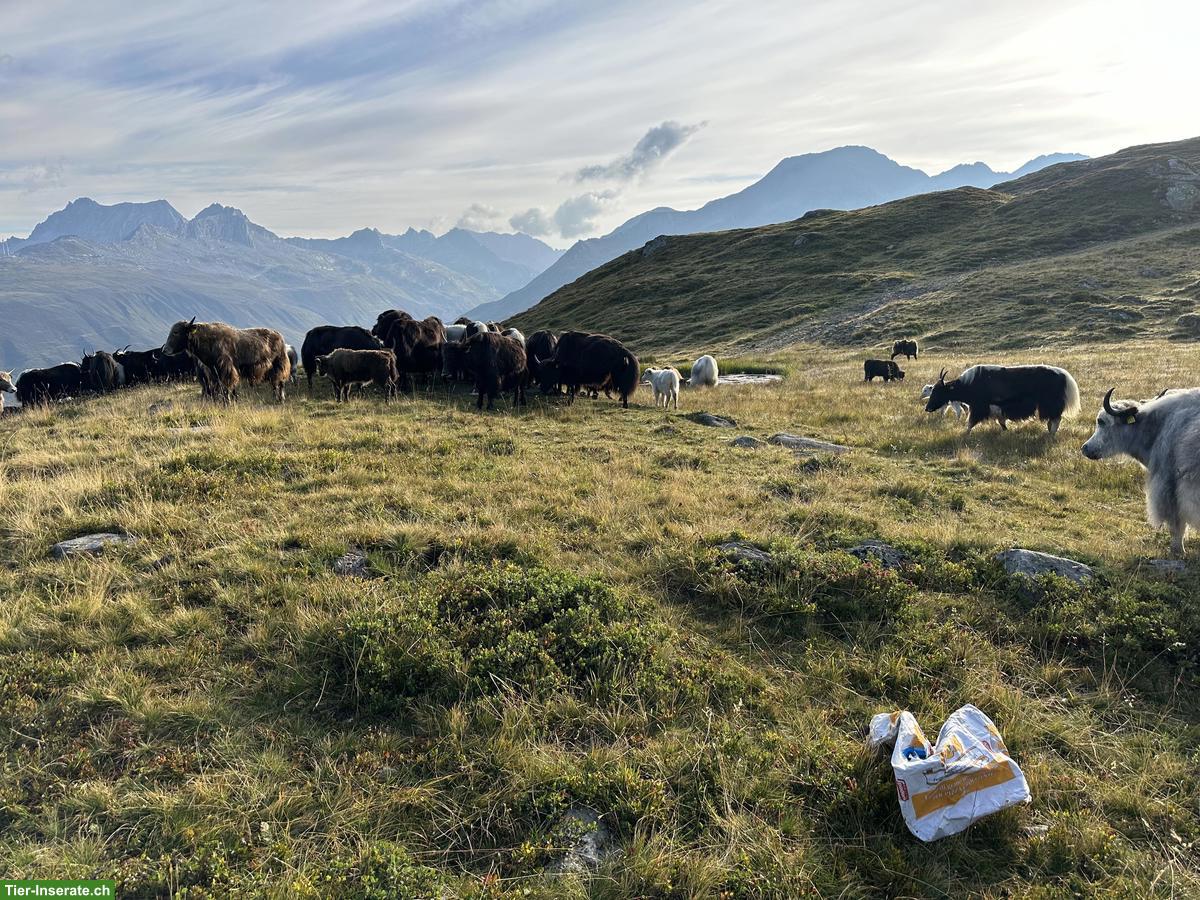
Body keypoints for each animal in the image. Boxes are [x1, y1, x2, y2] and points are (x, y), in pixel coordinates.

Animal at [162, 317, 291, 403]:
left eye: (176, 332)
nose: (165, 350)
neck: (208, 341)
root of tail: (280, 336)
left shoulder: (226, 370)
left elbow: (226, 388)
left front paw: (227, 402)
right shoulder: (214, 373)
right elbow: (223, 388)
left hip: (279, 364)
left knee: (280, 382)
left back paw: (280, 399)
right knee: (275, 383)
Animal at [925, 364, 1080, 435]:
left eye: (938, 391)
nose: (927, 408)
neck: (970, 384)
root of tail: (1064, 375)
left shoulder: (980, 407)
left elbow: (970, 422)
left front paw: (965, 434)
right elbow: (1001, 422)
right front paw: (1006, 431)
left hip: (1050, 404)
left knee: (1056, 419)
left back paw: (1051, 434)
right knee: (1052, 420)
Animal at [1082, 388, 1200, 556]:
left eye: (1101, 421)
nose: (1085, 448)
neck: (1157, 427)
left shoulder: (1166, 486)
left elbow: (1176, 525)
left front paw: (1178, 551)